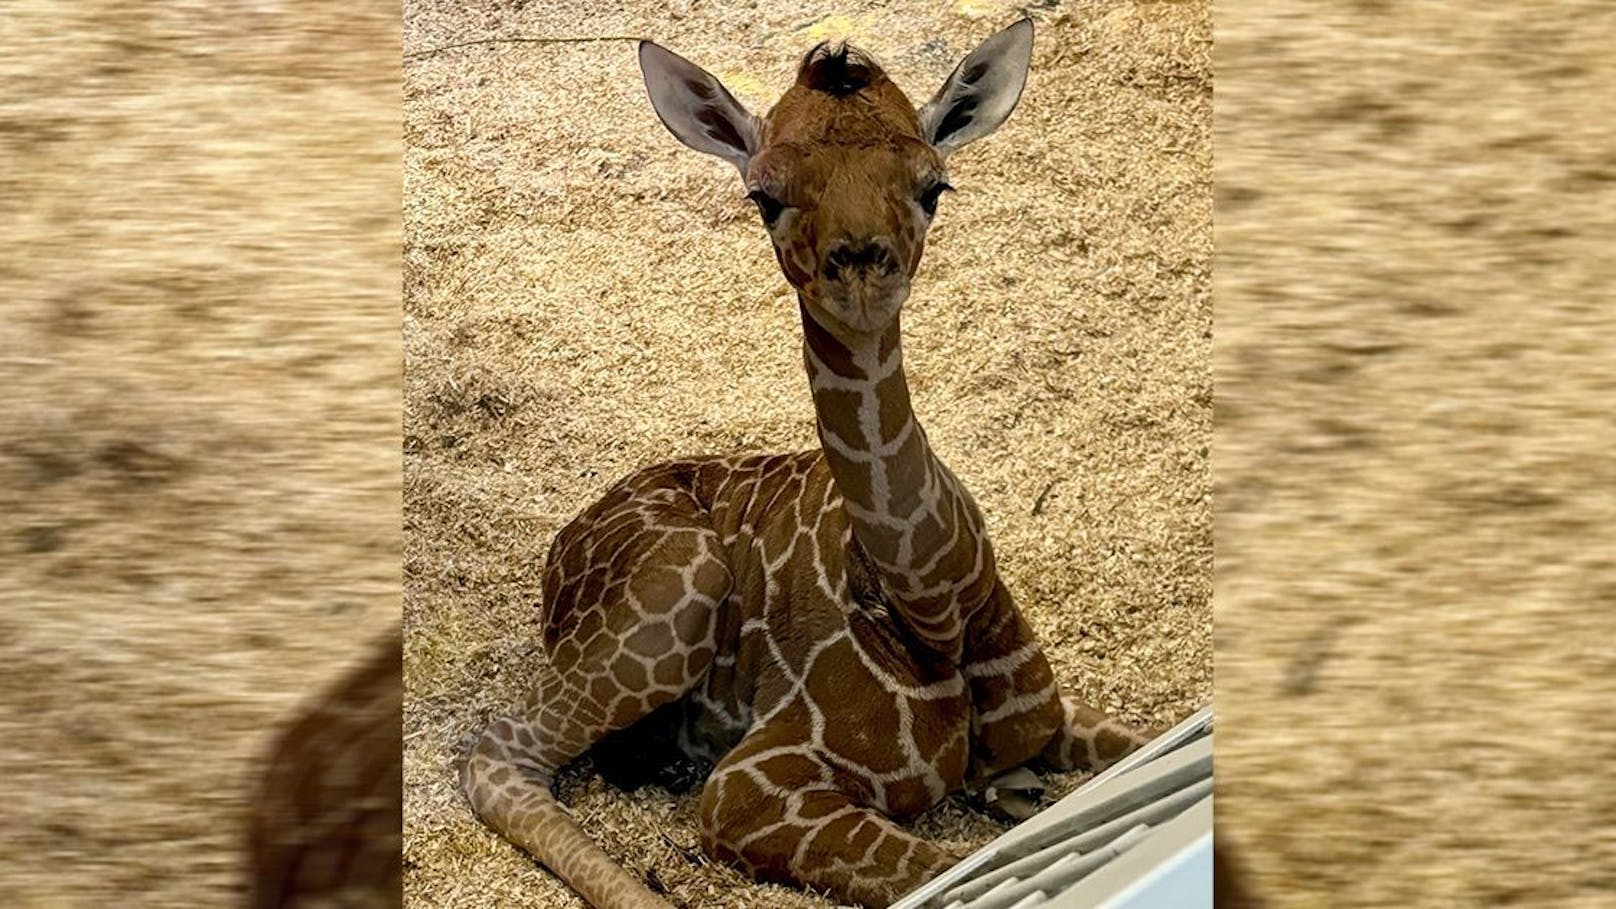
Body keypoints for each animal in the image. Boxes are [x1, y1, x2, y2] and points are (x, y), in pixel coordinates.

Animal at [462, 21, 1157, 905]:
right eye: (764, 196)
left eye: (934, 185)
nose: (859, 264)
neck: (933, 601)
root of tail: (564, 541)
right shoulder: (752, 783)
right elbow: (942, 872)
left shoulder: (1058, 711)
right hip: (676, 594)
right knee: (498, 754)